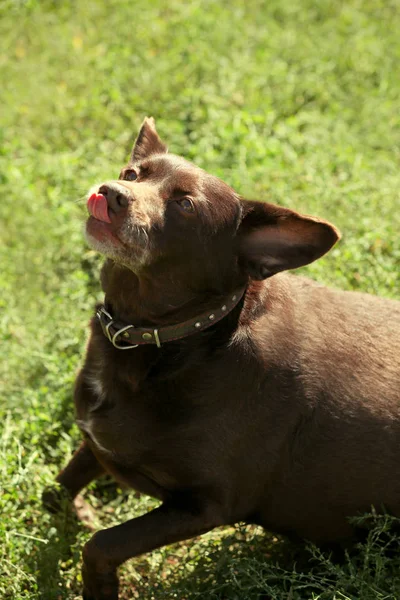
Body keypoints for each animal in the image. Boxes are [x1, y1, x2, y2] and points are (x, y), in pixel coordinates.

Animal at [45, 117, 400, 600]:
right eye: (132, 173)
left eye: (186, 206)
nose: (111, 191)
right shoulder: (95, 438)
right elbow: (59, 488)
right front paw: (71, 514)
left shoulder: (205, 506)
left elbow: (100, 544)